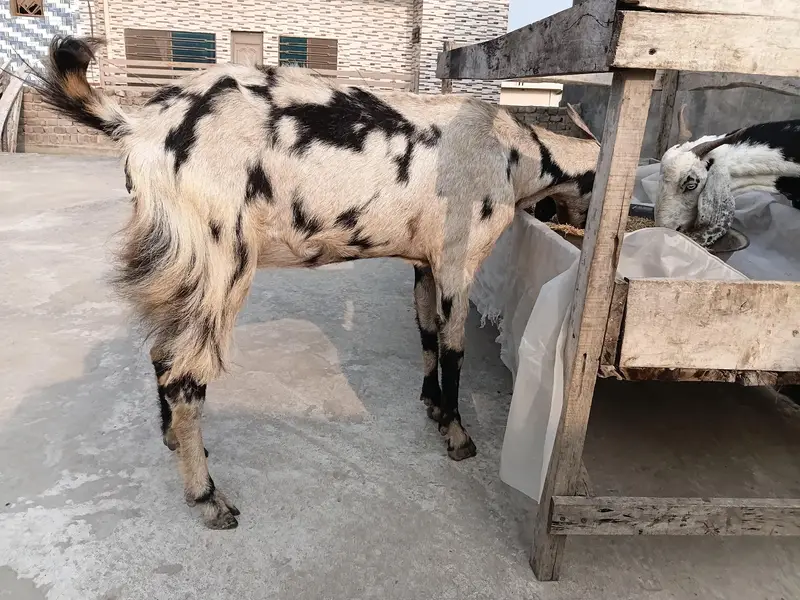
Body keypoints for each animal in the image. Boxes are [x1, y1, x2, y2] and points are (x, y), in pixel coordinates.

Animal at [33, 35, 599, 529]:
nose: (578, 222)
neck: (517, 152)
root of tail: (139, 126)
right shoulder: (459, 260)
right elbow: (456, 350)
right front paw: (458, 436)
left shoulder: (424, 262)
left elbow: (426, 335)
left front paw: (433, 406)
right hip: (219, 254)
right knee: (184, 375)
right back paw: (208, 497)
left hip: (180, 260)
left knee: (161, 352)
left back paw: (175, 441)